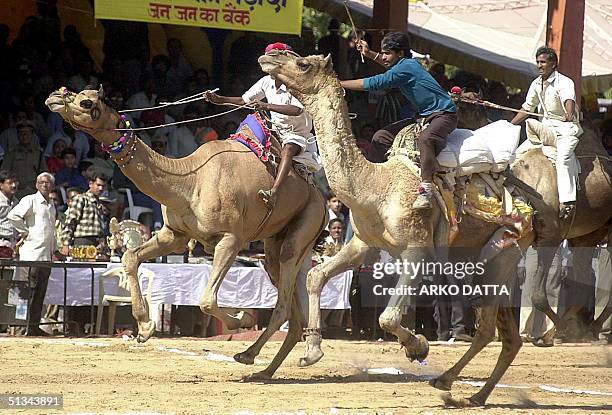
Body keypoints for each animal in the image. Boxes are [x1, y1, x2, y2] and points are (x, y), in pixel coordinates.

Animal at [45, 86, 328, 378]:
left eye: (86, 101)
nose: (55, 96)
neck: (189, 180)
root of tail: (321, 197)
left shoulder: (230, 239)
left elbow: (206, 301)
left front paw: (243, 317)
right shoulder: (174, 234)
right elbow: (130, 257)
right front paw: (145, 327)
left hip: (307, 221)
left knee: (285, 292)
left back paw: (252, 356)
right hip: (275, 241)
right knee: (290, 299)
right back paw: (269, 368)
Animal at [258, 52, 544, 406]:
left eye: (303, 64)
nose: (269, 57)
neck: (372, 187)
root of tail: (530, 208)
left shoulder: (417, 250)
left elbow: (388, 317)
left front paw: (417, 346)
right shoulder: (364, 244)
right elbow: (315, 276)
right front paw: (311, 352)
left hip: (504, 254)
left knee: (488, 329)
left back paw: (449, 384)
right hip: (490, 259)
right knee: (508, 336)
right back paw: (473, 394)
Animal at [454, 96, 612, 342]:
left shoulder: (550, 237)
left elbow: (537, 295)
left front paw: (555, 332)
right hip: (587, 236)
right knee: (584, 281)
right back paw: (586, 328)